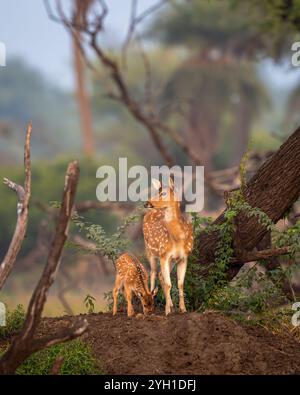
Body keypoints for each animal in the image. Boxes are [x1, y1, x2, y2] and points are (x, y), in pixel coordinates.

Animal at [144, 178, 195, 318]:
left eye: (164, 193)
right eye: (157, 191)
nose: (147, 203)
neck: (178, 239)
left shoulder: (184, 257)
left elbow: (180, 283)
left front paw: (183, 309)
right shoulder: (164, 255)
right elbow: (168, 284)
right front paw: (167, 311)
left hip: (171, 260)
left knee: (160, 274)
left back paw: (171, 304)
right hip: (150, 251)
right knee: (153, 273)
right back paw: (151, 302)